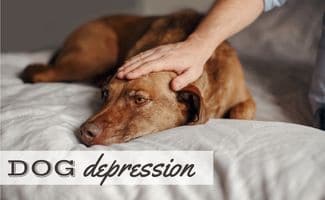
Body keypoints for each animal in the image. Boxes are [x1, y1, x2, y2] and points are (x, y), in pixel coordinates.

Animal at [20, 9, 256, 145]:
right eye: (105, 94)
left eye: (140, 99)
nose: (85, 132)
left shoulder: (245, 98)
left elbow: (242, 111)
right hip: (89, 60)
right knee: (39, 73)